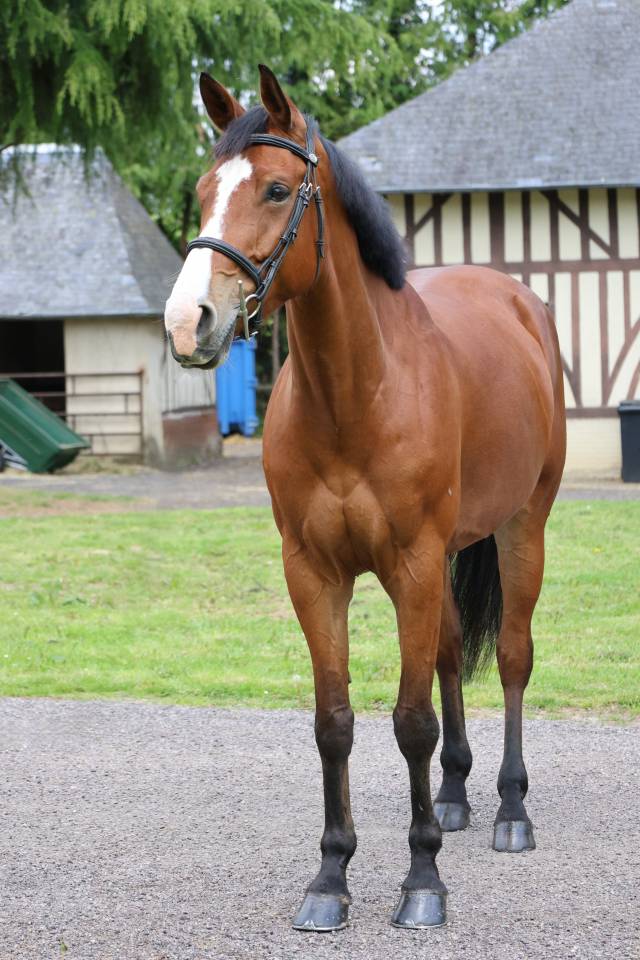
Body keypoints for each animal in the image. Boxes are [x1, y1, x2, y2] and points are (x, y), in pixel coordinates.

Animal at [164, 65, 566, 931]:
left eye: (277, 189)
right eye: (205, 190)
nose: (189, 322)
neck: (359, 393)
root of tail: (519, 301)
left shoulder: (410, 565)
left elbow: (409, 721)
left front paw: (422, 883)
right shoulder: (314, 573)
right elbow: (334, 723)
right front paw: (330, 877)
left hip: (523, 526)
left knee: (512, 657)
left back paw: (511, 809)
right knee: (448, 653)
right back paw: (453, 797)